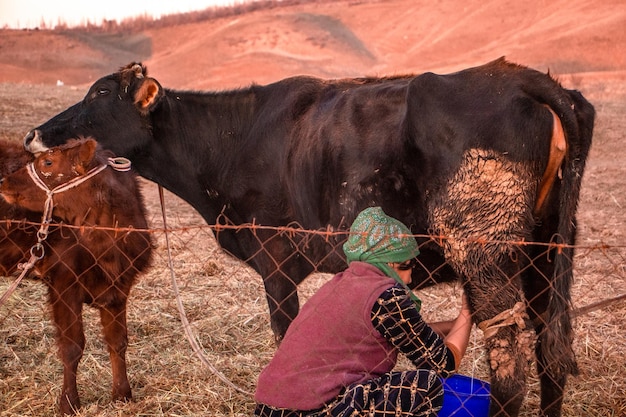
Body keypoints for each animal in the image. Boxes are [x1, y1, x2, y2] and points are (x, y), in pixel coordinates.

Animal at [23, 58, 588, 416]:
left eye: (100, 94)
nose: (33, 133)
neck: (230, 141)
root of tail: (521, 79)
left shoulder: (275, 262)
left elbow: (284, 335)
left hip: (486, 252)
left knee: (511, 370)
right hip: (547, 254)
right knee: (550, 354)